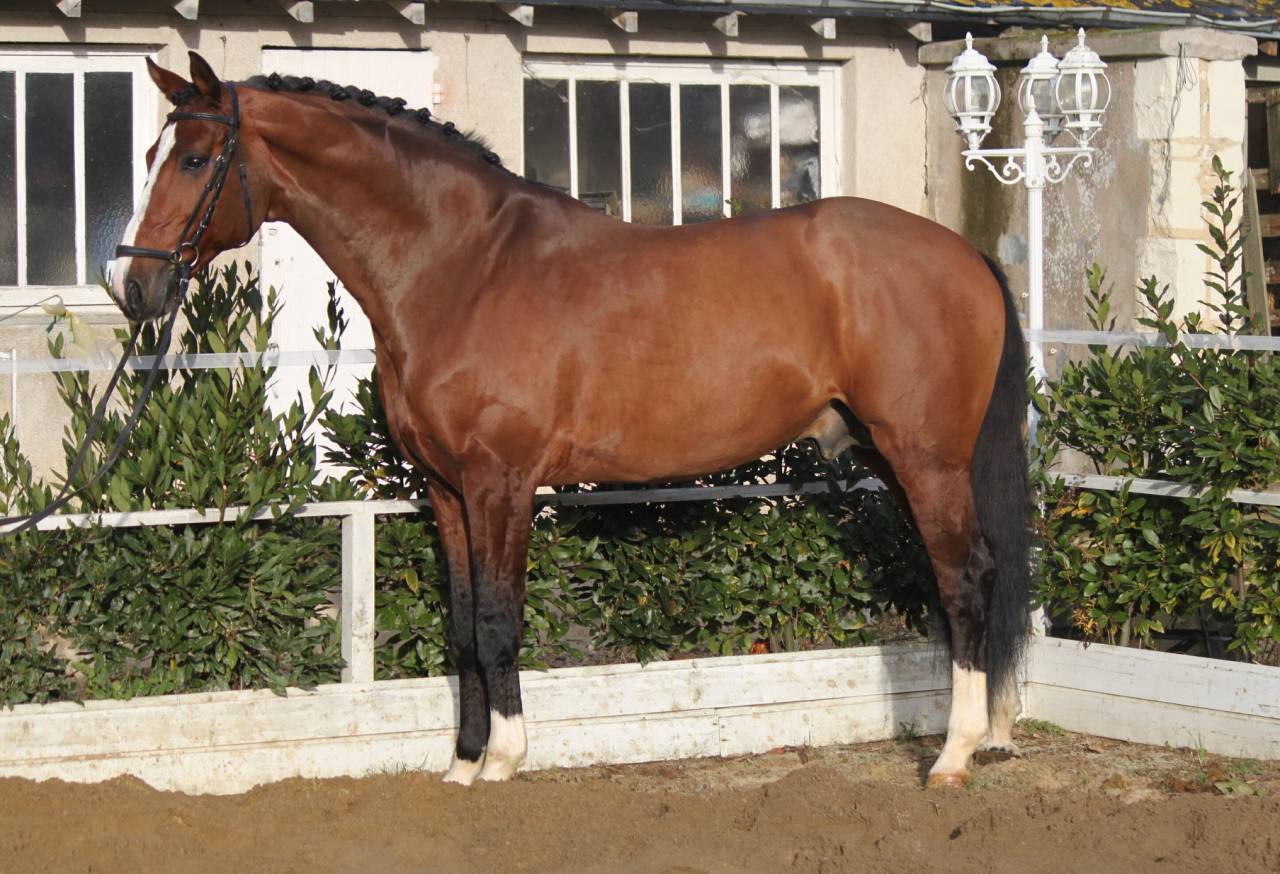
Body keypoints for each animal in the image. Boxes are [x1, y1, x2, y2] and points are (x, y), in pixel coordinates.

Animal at [112, 52, 1033, 788]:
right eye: (152, 154)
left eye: (194, 158)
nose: (132, 287)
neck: (464, 267)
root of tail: (963, 254)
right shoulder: (446, 490)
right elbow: (462, 626)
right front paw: (461, 763)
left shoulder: (503, 483)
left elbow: (497, 620)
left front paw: (504, 760)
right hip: (889, 456)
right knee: (972, 577)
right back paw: (988, 735)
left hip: (927, 459)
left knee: (964, 579)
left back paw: (954, 757)